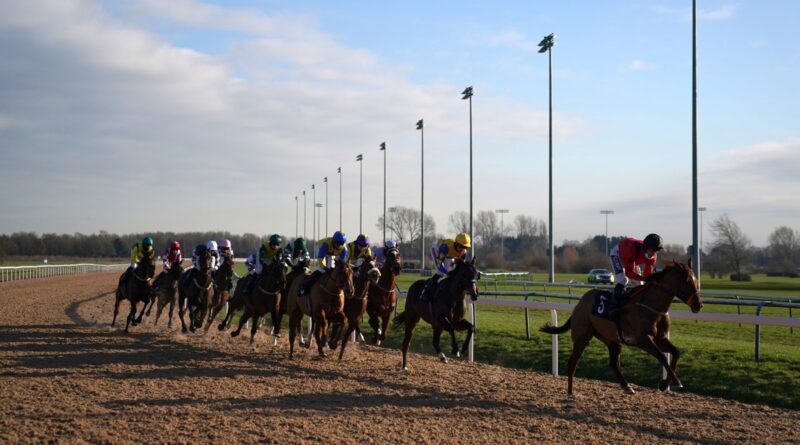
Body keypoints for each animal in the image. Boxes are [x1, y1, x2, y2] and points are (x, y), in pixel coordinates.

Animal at [540, 258, 704, 394]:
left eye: (696, 280)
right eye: (687, 281)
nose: (699, 305)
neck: (651, 305)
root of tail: (580, 303)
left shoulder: (660, 338)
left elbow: (675, 353)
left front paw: (665, 384)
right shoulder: (643, 339)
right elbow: (662, 356)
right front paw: (674, 381)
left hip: (612, 340)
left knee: (614, 364)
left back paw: (627, 386)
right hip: (582, 337)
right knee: (572, 362)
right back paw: (570, 392)